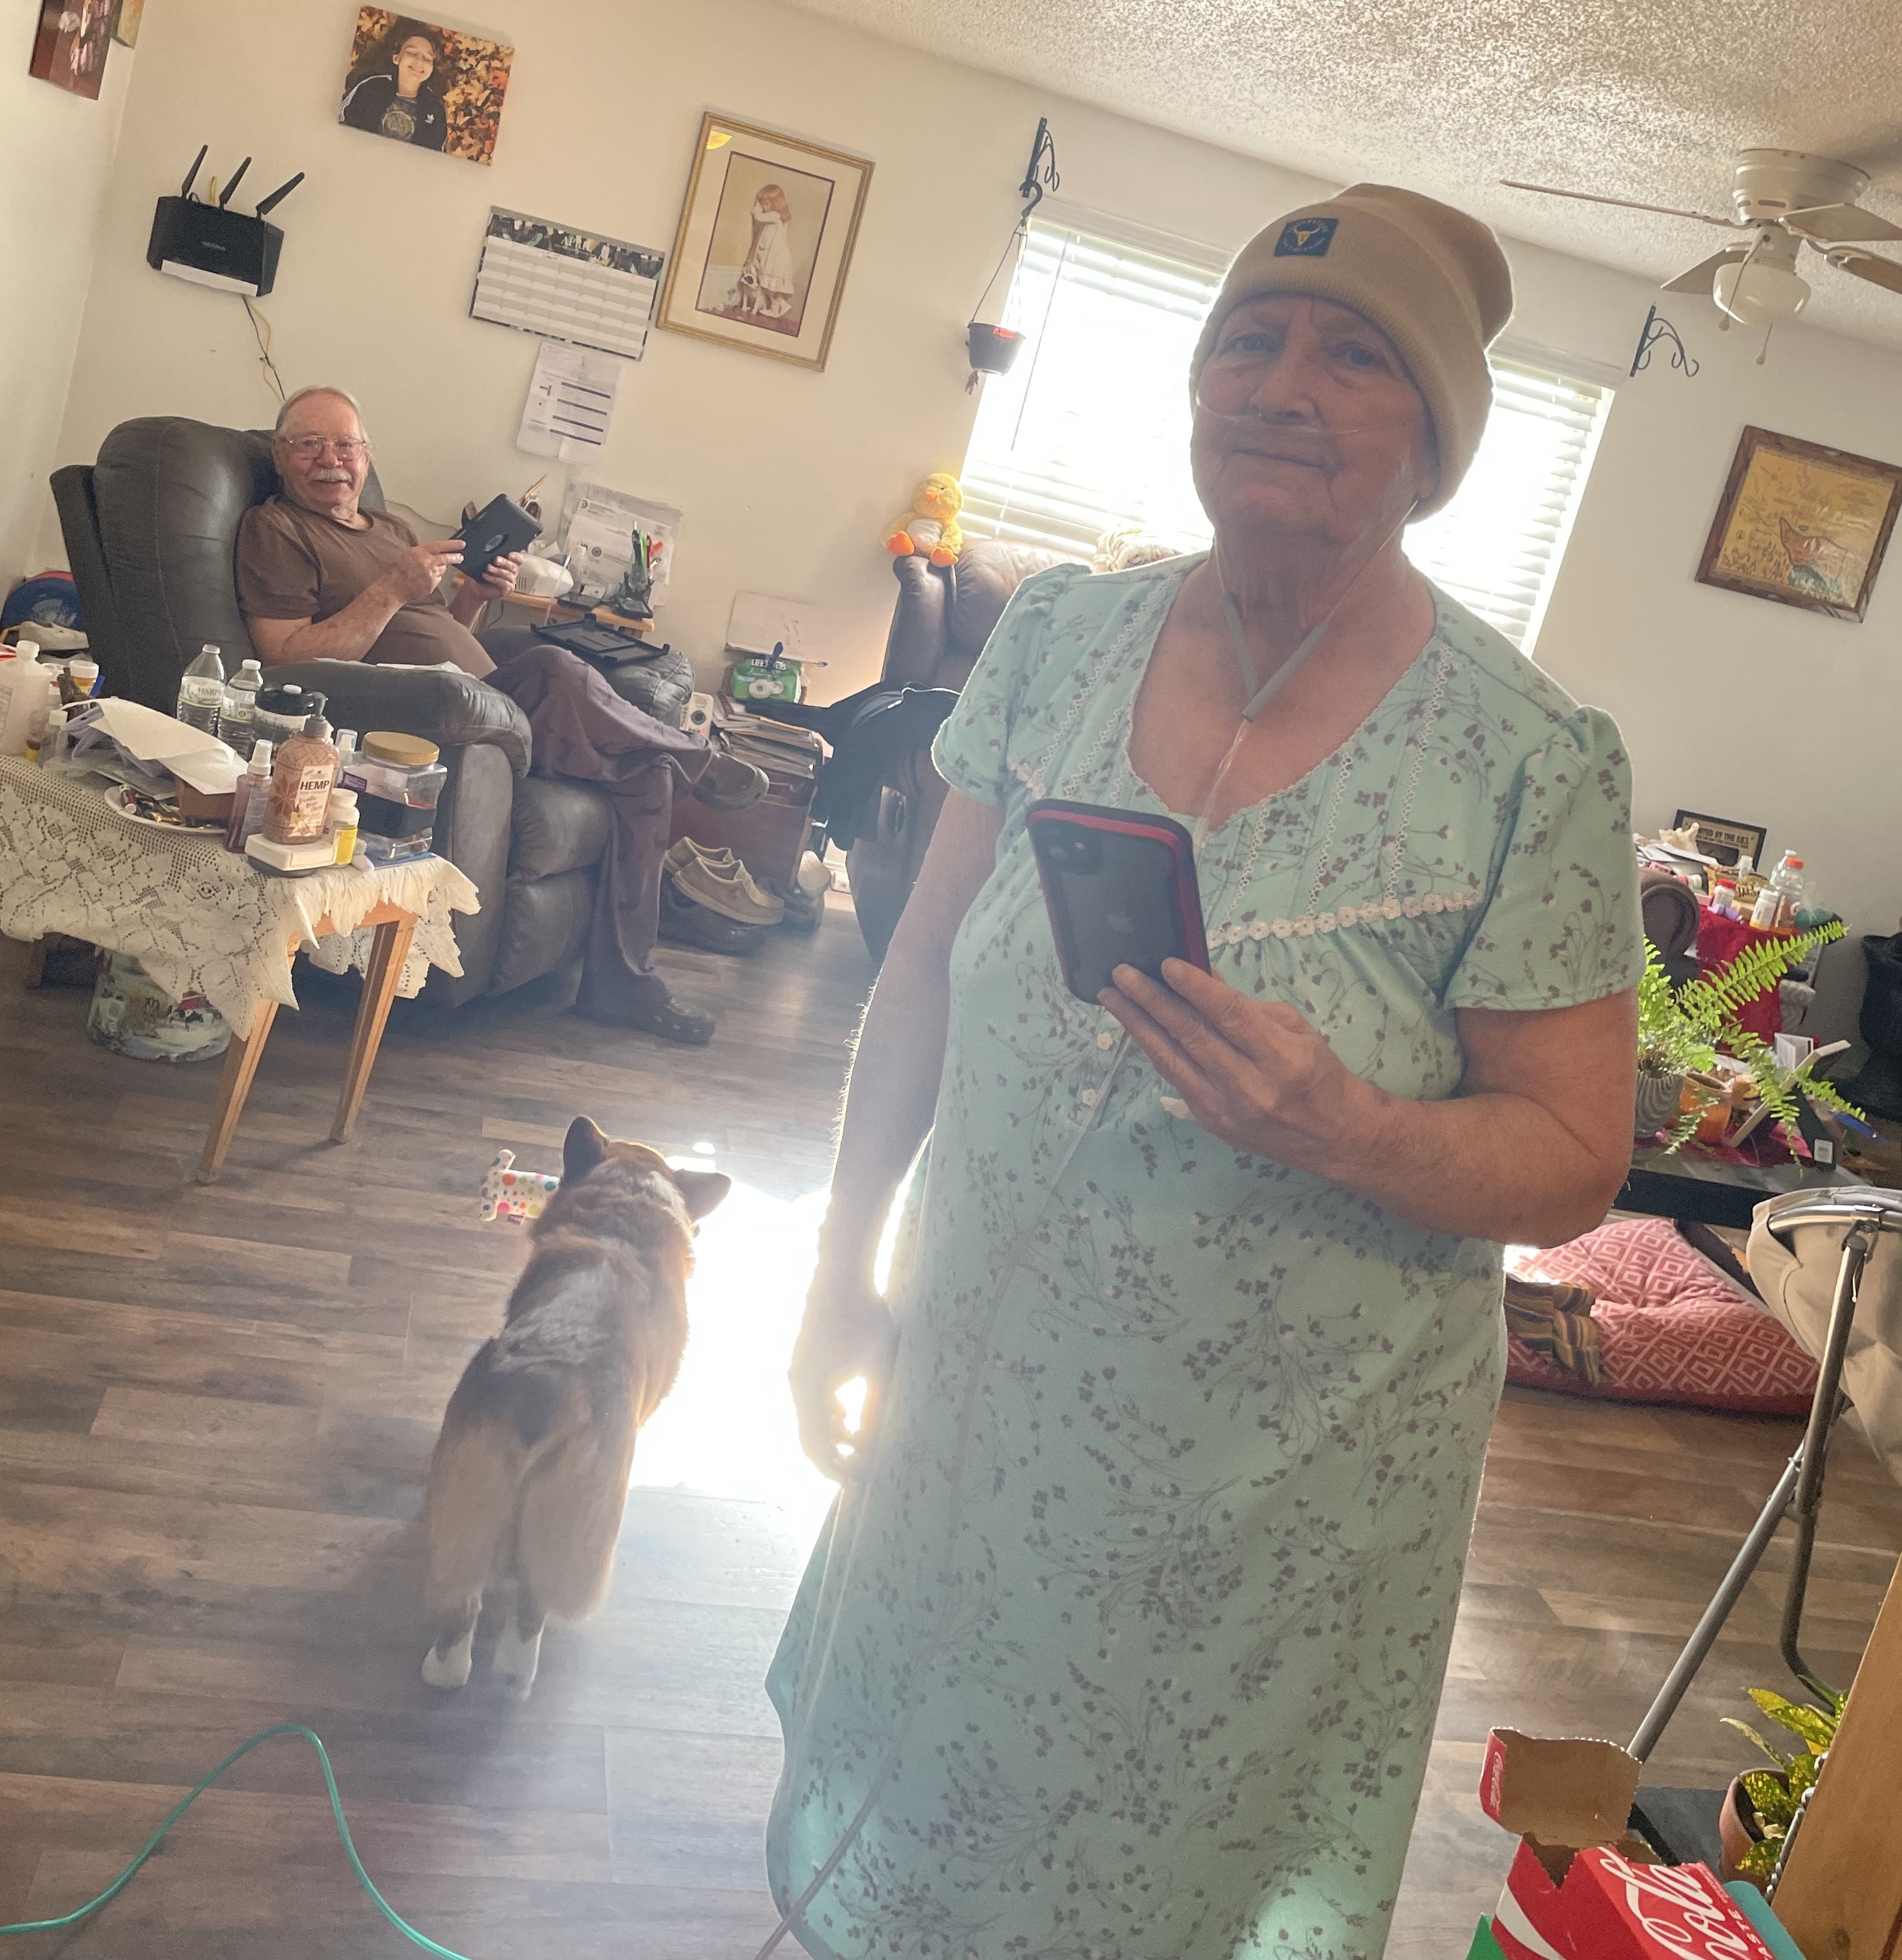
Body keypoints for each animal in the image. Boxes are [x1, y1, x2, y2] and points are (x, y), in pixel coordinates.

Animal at [421, 1116, 730, 1697]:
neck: (624, 1215)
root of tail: (545, 1395)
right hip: (577, 1528)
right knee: (530, 1606)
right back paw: (517, 1675)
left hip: (468, 1508)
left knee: (464, 1606)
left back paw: (450, 1672)